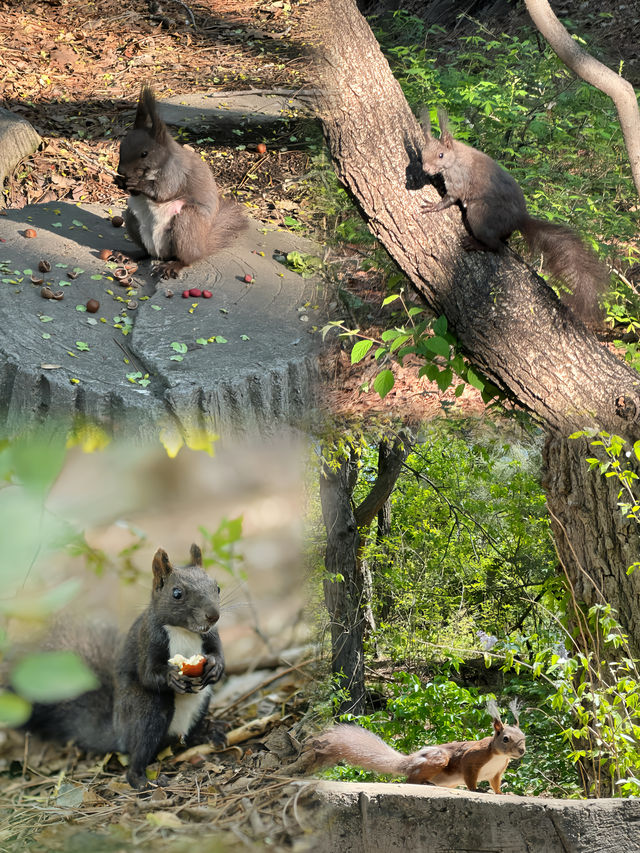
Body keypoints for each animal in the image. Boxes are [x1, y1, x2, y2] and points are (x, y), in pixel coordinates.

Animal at [24, 544, 225, 788]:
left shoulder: (211, 635)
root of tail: (119, 733)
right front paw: (173, 677)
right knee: (139, 750)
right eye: (177, 593)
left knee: (188, 735)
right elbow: (148, 674)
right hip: (145, 709)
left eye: (217, 587)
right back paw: (140, 779)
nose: (213, 616)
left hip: (202, 702)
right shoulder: (148, 639)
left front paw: (215, 666)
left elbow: (218, 654)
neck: (184, 631)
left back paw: (209, 734)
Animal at [115, 86, 248, 280]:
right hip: (132, 219)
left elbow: (163, 193)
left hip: (186, 223)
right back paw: (129, 255)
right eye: (121, 146)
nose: (121, 171)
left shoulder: (175, 173)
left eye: (145, 153)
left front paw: (137, 184)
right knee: (146, 252)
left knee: (186, 259)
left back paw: (172, 266)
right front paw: (120, 182)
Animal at [310, 700, 524, 792]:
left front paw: (502, 793)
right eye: (506, 739)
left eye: (524, 737)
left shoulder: (497, 772)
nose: (522, 751)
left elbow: (496, 784)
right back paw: (424, 782)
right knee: (409, 779)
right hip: (438, 759)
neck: (498, 757)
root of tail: (409, 762)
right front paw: (476, 790)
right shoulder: (472, 759)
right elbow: (470, 777)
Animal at [418, 110, 608, 322]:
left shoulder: (459, 179)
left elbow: (451, 197)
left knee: (496, 246)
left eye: (441, 155)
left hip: (479, 214)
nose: (426, 169)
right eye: (422, 153)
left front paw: (434, 205)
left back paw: (475, 244)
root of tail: (519, 219)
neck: (455, 157)